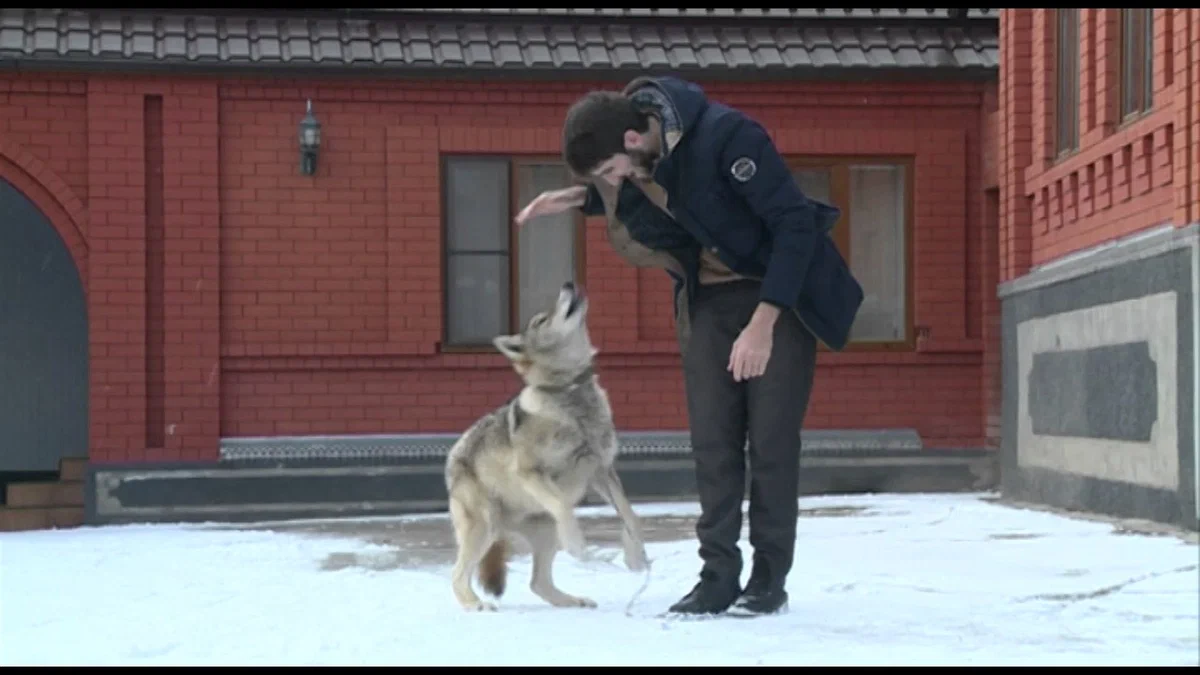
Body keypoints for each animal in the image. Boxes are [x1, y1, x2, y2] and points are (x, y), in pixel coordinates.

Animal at [444, 278, 648, 610]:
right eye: (541, 320)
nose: (568, 283)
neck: (571, 393)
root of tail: (452, 459)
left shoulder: (602, 471)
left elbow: (631, 515)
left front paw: (636, 557)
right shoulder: (532, 474)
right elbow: (564, 506)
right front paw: (578, 546)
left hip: (543, 532)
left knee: (538, 583)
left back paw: (574, 601)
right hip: (484, 526)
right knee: (457, 575)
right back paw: (476, 604)